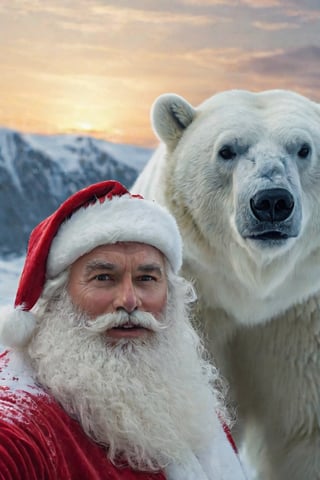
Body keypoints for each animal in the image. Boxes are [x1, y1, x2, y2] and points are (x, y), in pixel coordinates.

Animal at [132, 91, 320, 480]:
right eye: (226, 150)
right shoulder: (196, 304)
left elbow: (307, 430)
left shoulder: (301, 315)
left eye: (304, 148)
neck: (252, 292)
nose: (272, 201)